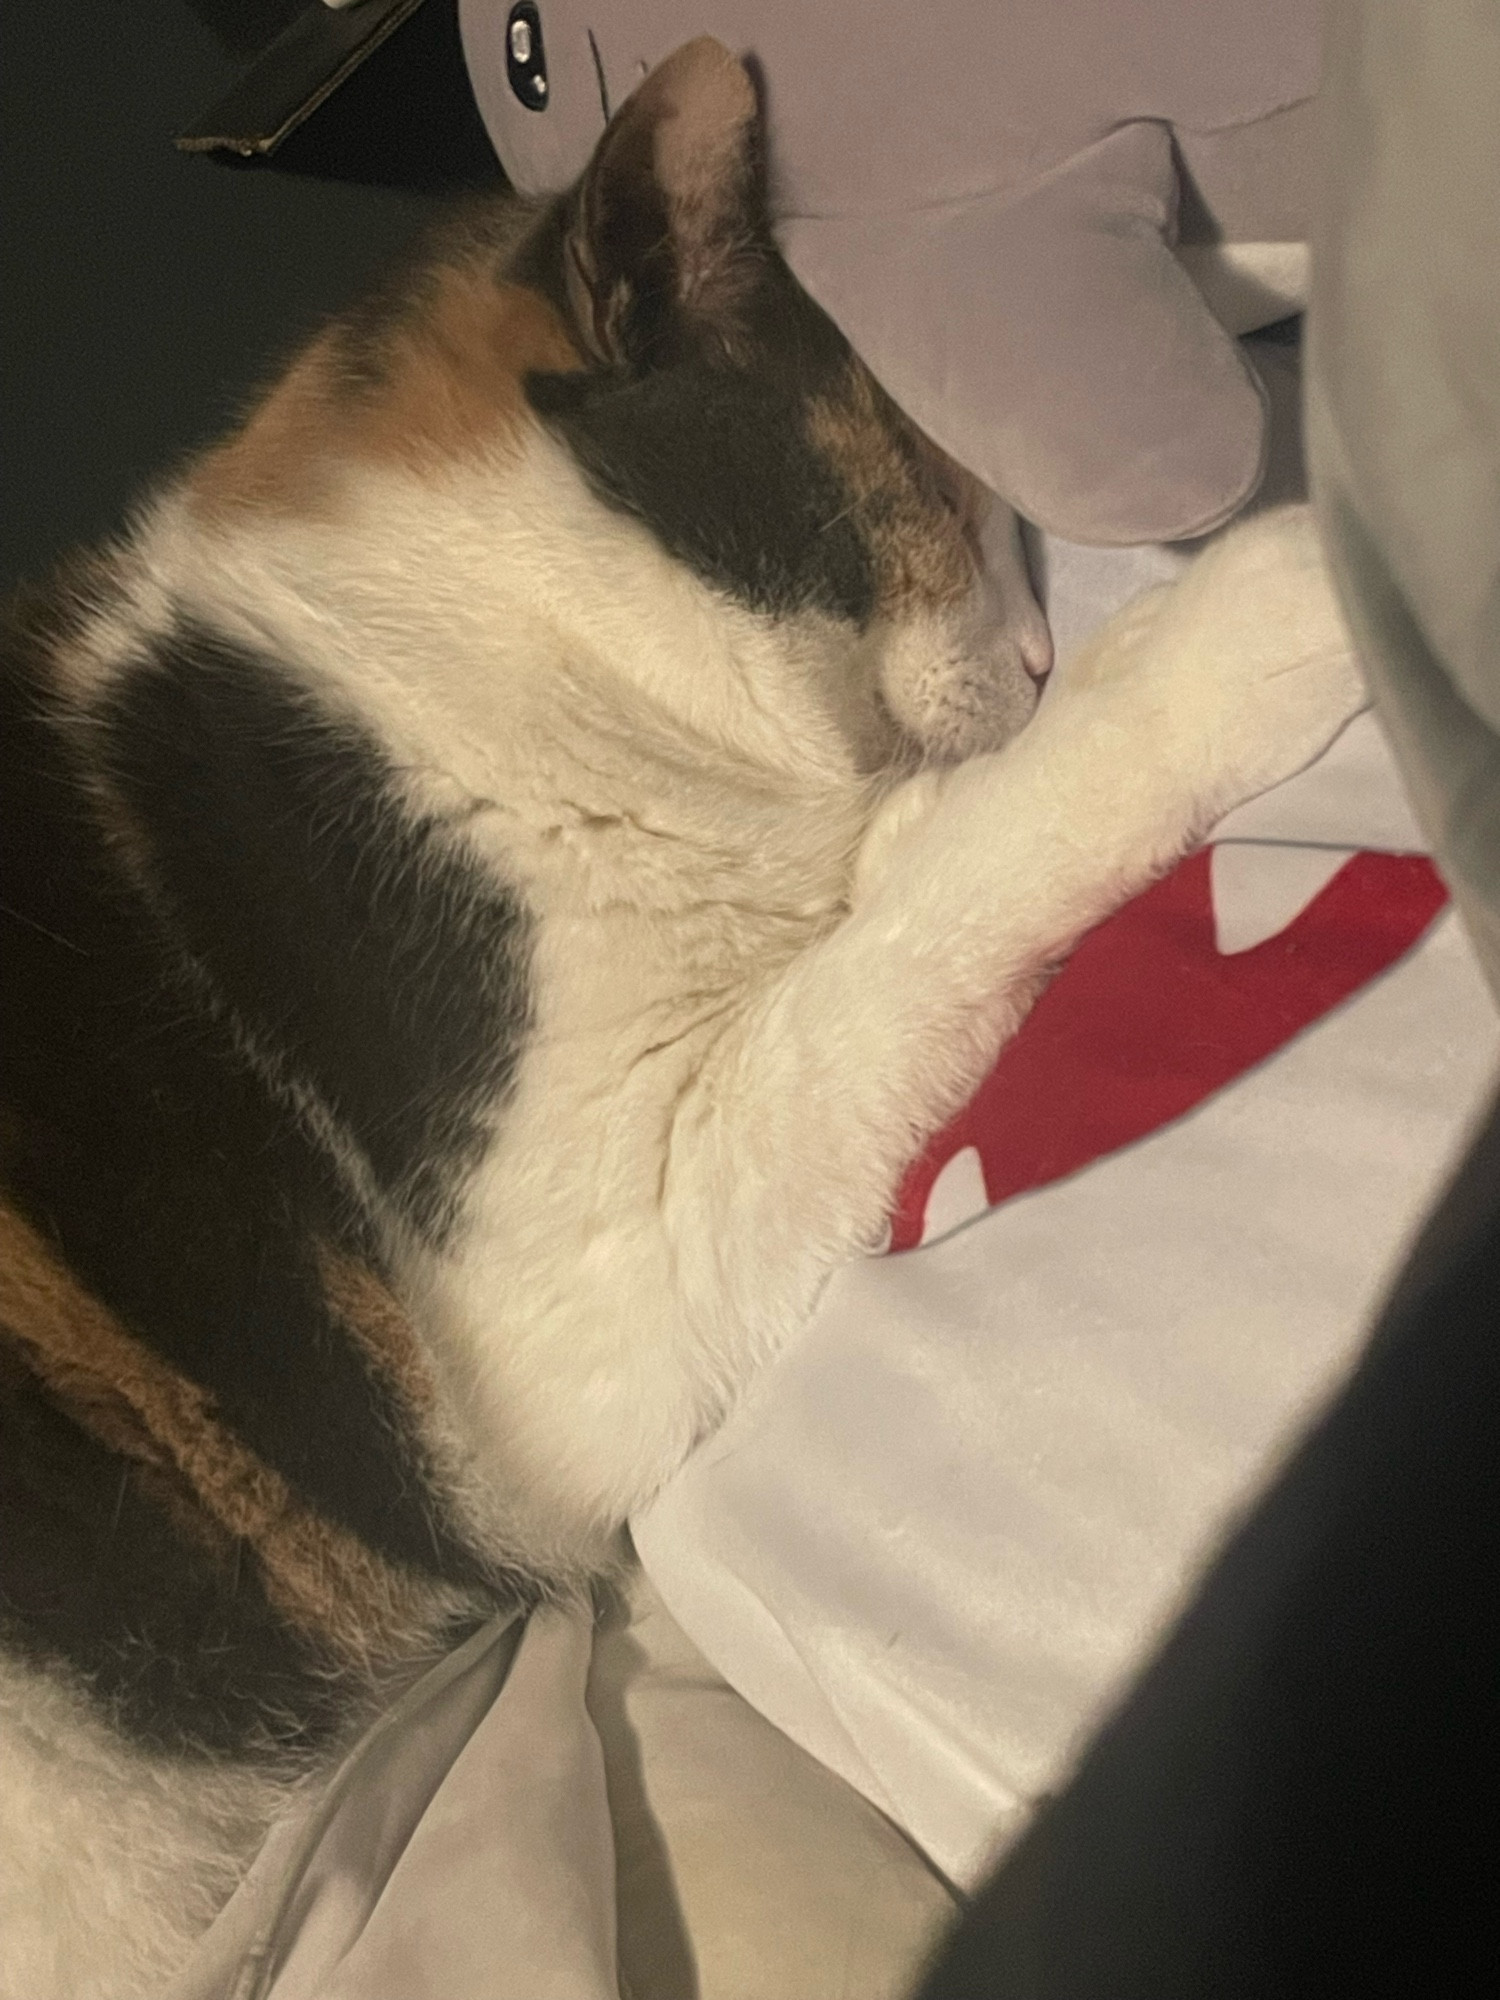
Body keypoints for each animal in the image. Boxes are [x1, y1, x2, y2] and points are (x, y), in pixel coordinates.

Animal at [0, 35, 1360, 2000]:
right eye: (929, 472)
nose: (1041, 649)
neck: (482, 660)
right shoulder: (580, 1299)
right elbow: (919, 907)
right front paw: (1259, 610)